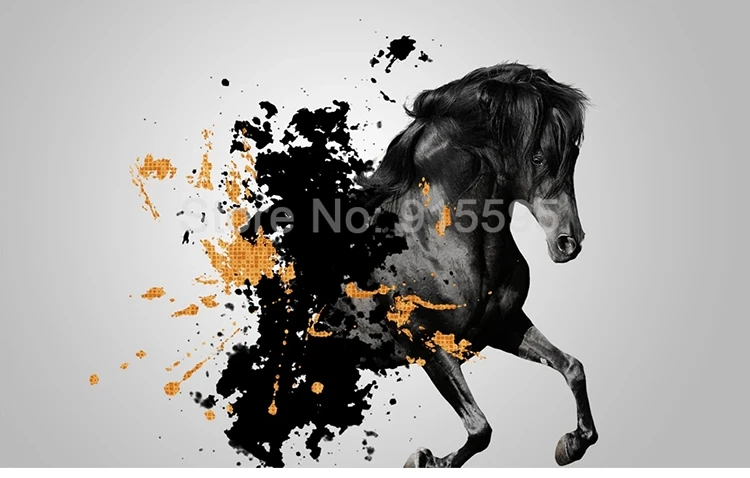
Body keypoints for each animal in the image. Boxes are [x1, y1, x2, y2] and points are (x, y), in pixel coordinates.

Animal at [223, 62, 597, 468]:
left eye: (574, 155)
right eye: (539, 158)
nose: (568, 243)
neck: (440, 245)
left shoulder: (503, 327)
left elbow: (572, 368)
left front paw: (571, 444)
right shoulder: (429, 345)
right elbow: (479, 428)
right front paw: (427, 459)